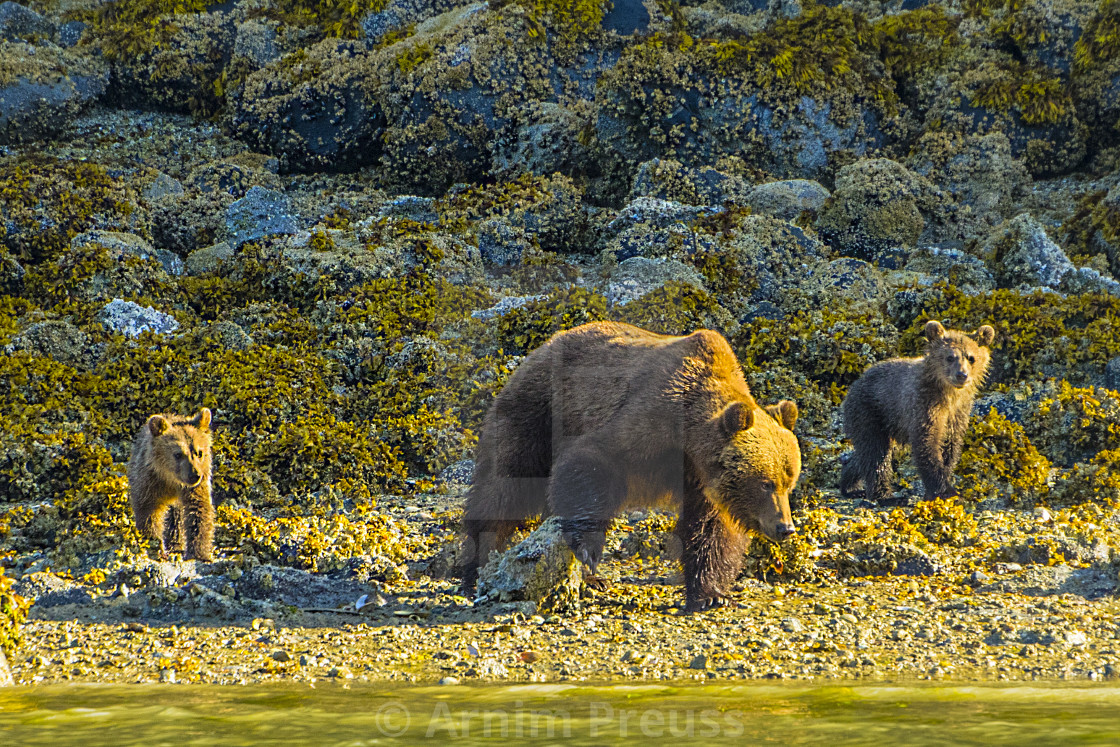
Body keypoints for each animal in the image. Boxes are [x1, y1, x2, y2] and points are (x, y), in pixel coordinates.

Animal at [459, 322, 801, 613]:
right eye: (765, 483)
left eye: (789, 483)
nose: (785, 527)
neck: (689, 438)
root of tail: (543, 345)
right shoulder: (649, 421)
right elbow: (591, 461)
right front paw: (589, 549)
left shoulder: (702, 481)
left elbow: (712, 531)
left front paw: (711, 594)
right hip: (538, 411)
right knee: (502, 487)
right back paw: (476, 566)